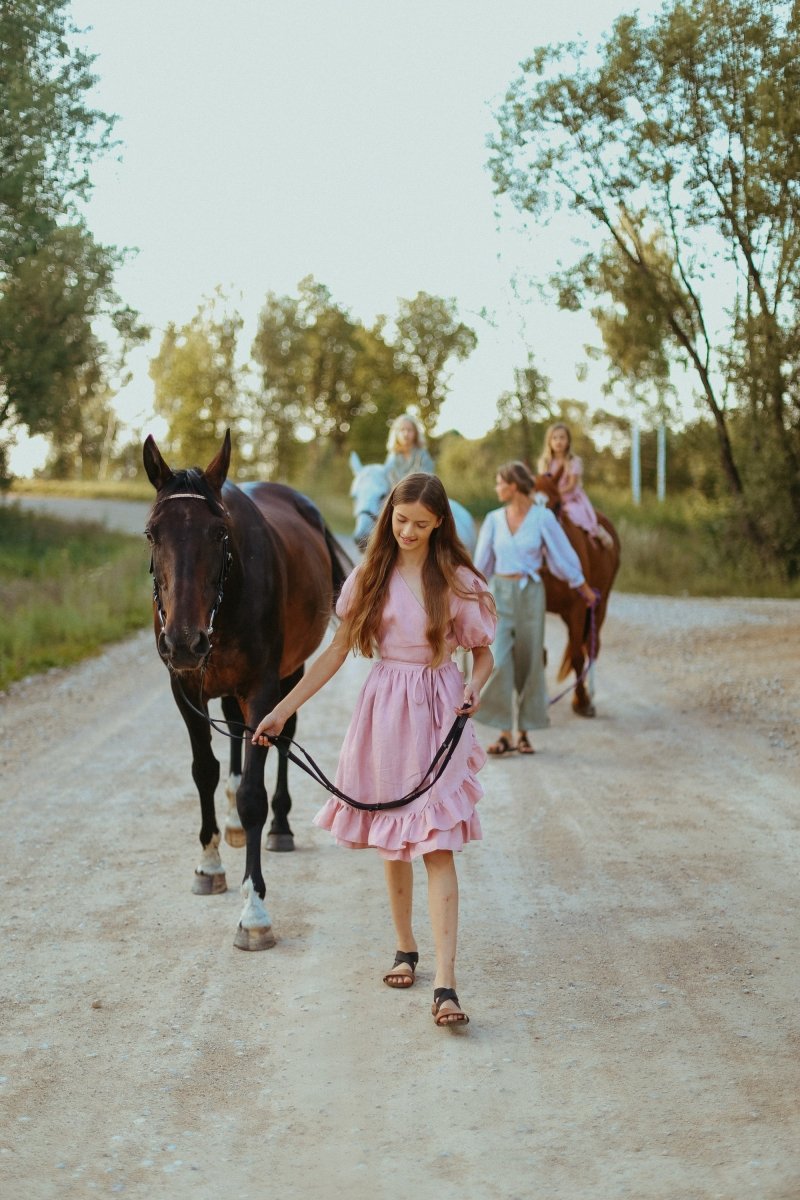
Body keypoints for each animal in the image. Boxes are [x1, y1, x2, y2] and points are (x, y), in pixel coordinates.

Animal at [141, 432, 352, 945]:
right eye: (152, 533)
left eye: (219, 533)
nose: (183, 641)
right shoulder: (185, 687)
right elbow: (204, 772)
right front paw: (209, 865)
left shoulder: (261, 686)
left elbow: (256, 787)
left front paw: (254, 908)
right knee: (234, 731)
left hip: (291, 671)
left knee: (284, 738)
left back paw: (280, 826)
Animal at [534, 465, 623, 710]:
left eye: (557, 504)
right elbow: (539, 654)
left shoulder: (578, 608)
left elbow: (577, 655)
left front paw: (581, 701)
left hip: (598, 606)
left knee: (591, 646)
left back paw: (589, 694)